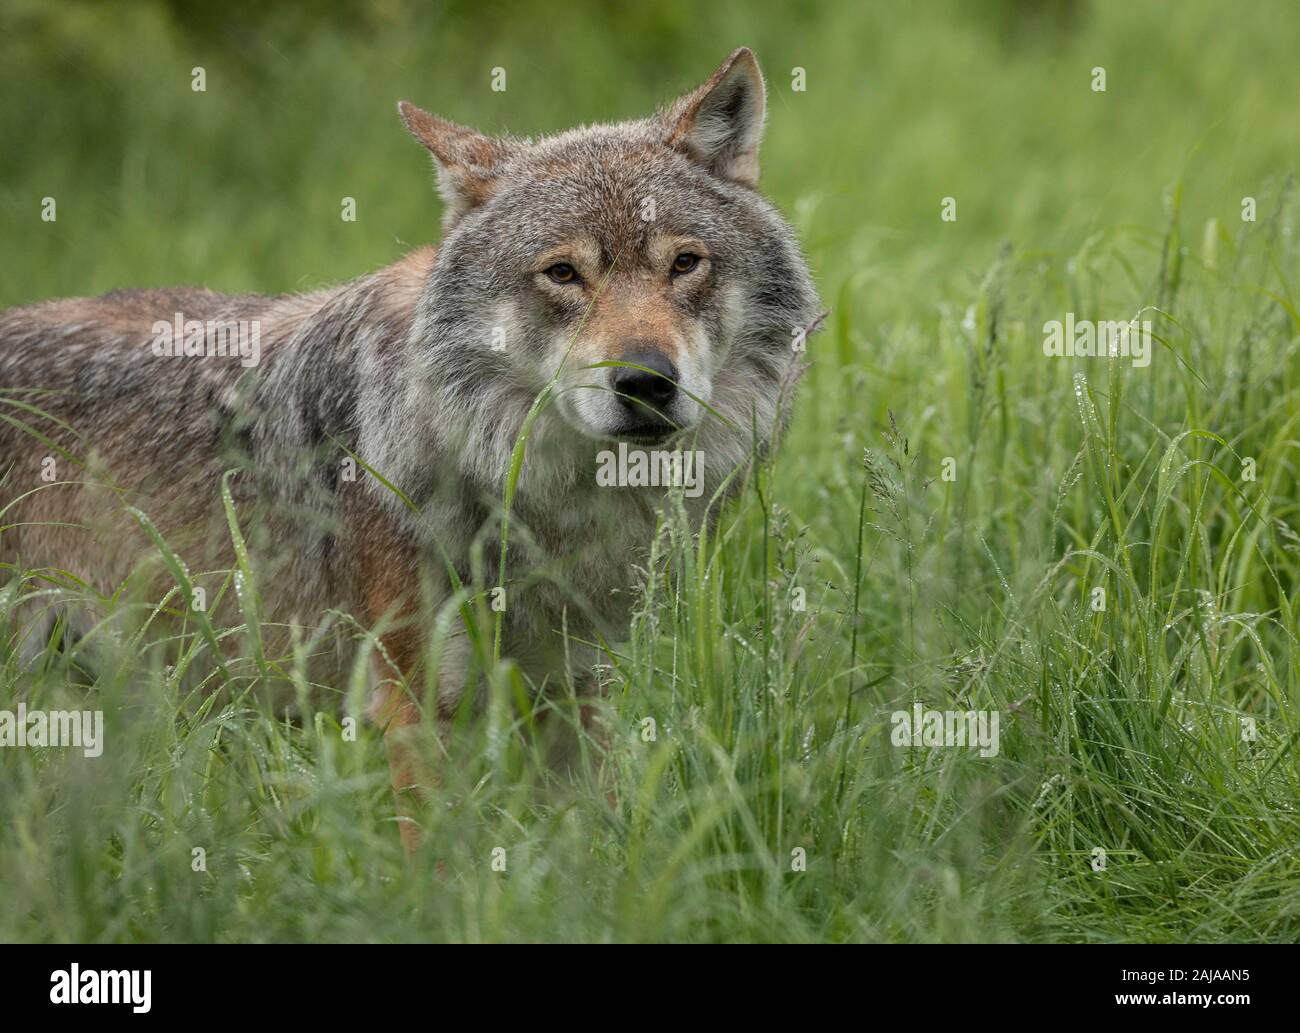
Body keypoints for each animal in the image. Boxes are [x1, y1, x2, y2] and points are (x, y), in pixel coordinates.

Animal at [0, 48, 822, 850]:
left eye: (684, 263)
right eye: (562, 273)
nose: (646, 381)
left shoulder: (573, 687)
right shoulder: (413, 702)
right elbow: (438, 860)